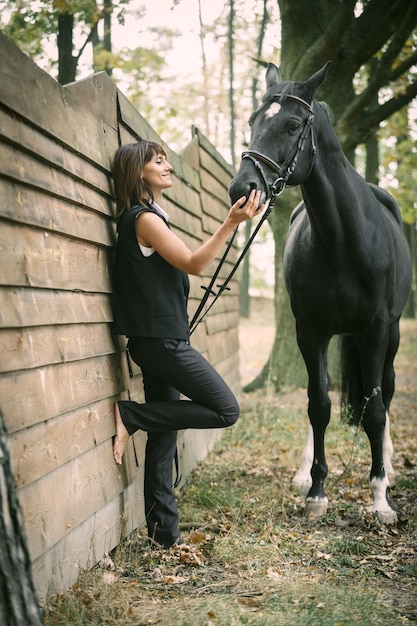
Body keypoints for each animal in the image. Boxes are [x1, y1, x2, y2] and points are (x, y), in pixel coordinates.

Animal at [229, 63, 412, 520]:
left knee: (385, 389)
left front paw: (380, 496)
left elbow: (375, 408)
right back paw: (304, 472)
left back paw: (388, 468)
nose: (242, 189)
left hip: (392, 334)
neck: (341, 239)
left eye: (293, 125)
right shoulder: (309, 331)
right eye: (252, 121)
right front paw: (315, 490)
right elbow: (318, 403)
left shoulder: (376, 329)